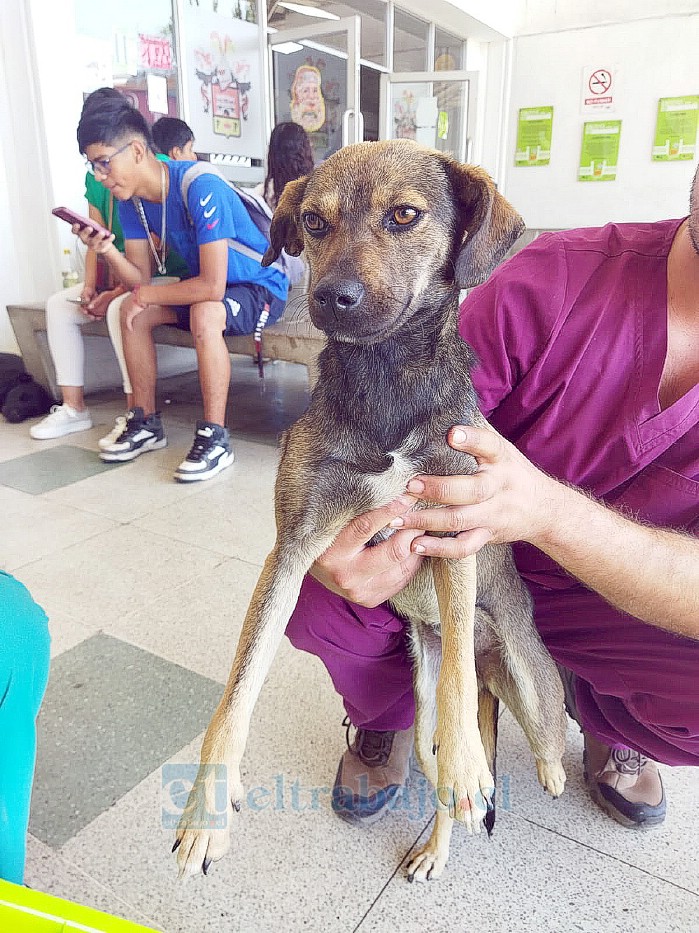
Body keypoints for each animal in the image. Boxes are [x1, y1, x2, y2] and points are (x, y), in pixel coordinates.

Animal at [175, 140, 568, 880]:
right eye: (313, 222)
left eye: (404, 215)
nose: (331, 297)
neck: (384, 375)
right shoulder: (293, 546)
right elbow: (237, 689)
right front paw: (206, 810)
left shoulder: (453, 530)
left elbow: (457, 678)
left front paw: (470, 762)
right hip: (420, 700)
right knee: (438, 767)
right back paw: (434, 847)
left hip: (532, 687)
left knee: (525, 737)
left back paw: (513, 770)